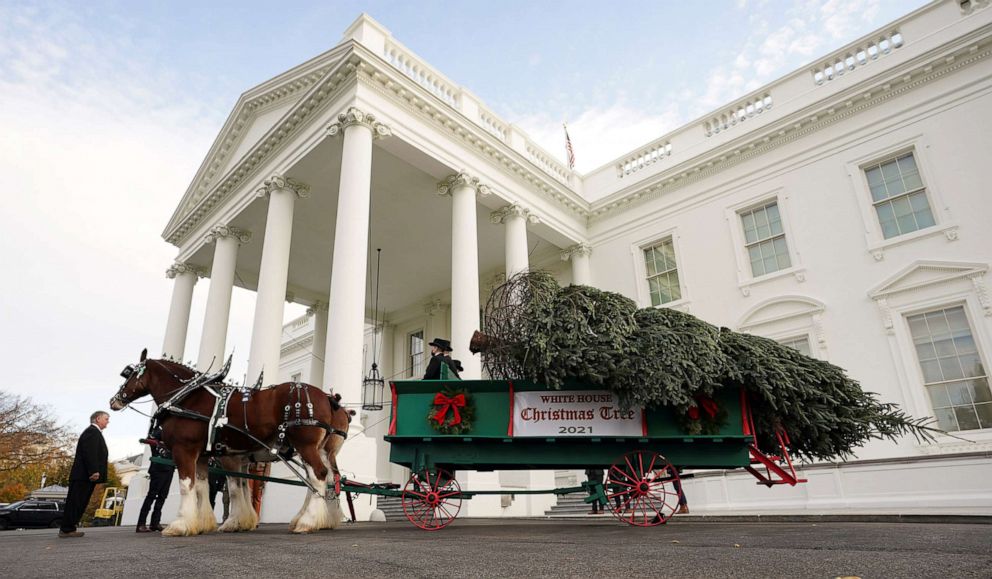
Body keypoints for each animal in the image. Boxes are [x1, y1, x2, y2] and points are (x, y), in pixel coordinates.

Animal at [111, 348, 352, 536]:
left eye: (128, 374)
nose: (114, 400)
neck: (188, 398)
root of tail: (328, 398)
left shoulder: (187, 450)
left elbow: (191, 486)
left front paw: (181, 524)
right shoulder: (209, 456)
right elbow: (207, 487)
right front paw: (206, 523)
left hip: (306, 446)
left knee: (318, 476)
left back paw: (308, 521)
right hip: (321, 450)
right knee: (325, 479)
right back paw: (319, 519)